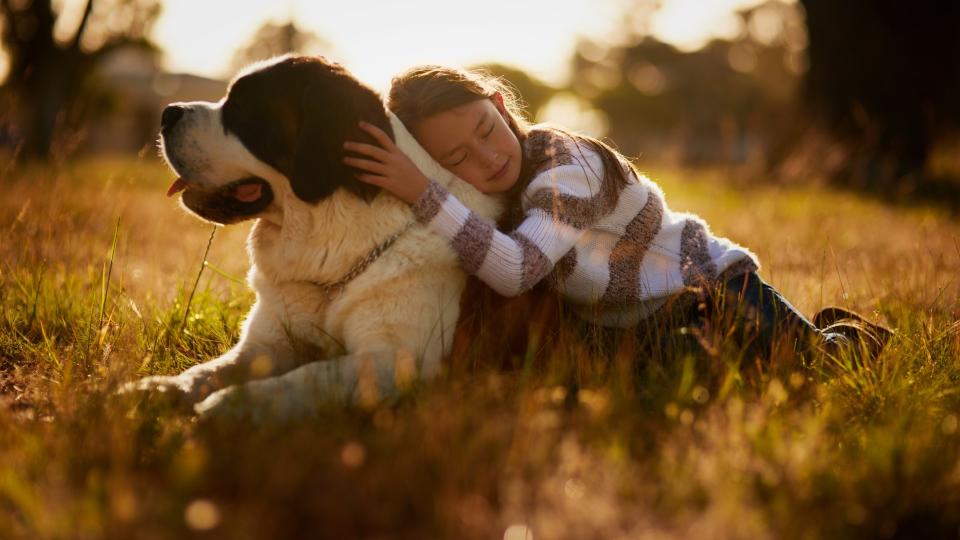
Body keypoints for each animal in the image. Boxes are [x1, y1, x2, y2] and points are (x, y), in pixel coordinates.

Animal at [123, 56, 502, 426]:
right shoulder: (267, 342)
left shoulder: (392, 358)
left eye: (242, 108)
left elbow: (308, 376)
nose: (167, 113)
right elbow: (209, 370)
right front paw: (156, 389)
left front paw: (227, 406)